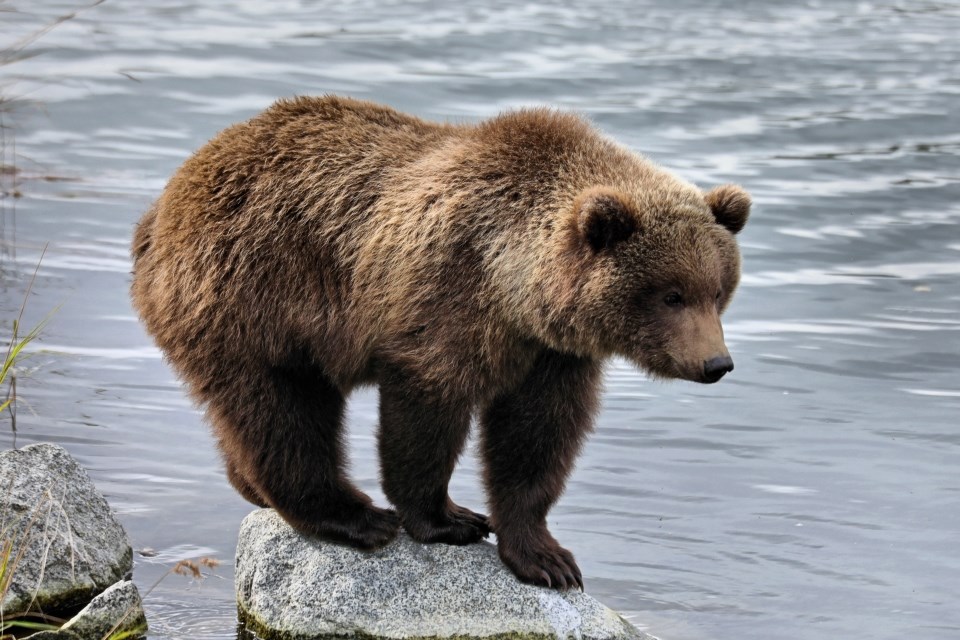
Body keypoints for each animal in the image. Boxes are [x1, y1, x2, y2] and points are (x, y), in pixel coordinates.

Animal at [131, 95, 752, 592]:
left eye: (718, 290)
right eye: (670, 294)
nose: (716, 362)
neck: (516, 289)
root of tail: (162, 205)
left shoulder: (553, 354)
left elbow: (537, 437)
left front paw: (546, 556)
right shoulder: (448, 297)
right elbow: (427, 412)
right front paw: (449, 519)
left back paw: (254, 488)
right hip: (251, 295)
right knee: (282, 411)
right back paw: (354, 516)